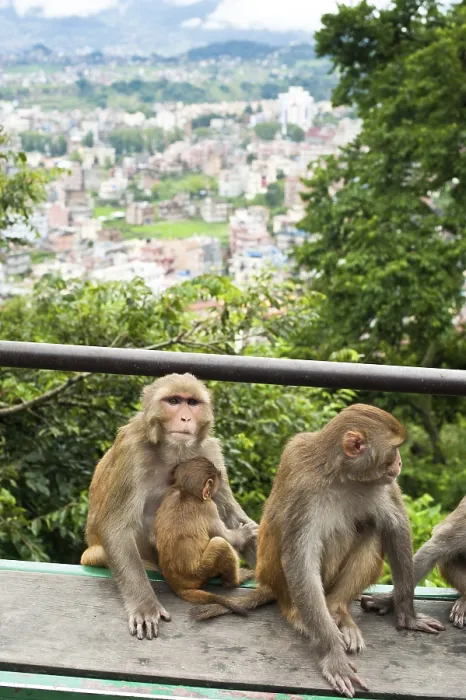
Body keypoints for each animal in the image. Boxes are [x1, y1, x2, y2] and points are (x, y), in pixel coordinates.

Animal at [153, 456, 255, 614]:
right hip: (200, 572)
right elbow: (226, 537)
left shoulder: (169, 494)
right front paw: (245, 533)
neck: (185, 492)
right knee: (220, 543)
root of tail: (178, 585)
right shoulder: (209, 507)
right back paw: (233, 581)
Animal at [191, 404, 444, 698]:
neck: (342, 475)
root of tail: (269, 584)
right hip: (282, 582)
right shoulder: (305, 487)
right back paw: (300, 616)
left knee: (372, 528)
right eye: (394, 449)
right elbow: (301, 559)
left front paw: (407, 614)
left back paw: (338, 610)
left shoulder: (381, 484)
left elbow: (395, 527)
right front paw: (333, 654)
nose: (400, 463)